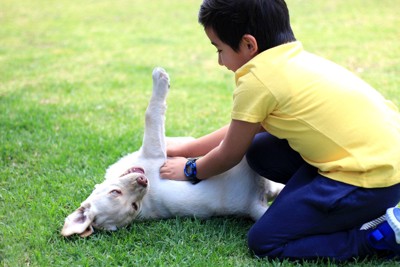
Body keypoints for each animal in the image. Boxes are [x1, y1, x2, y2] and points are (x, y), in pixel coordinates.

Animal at [61, 68, 282, 238]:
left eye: (114, 192)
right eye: (133, 207)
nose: (143, 180)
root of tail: (252, 203)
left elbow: (177, 138)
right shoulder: (154, 151)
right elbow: (152, 113)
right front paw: (161, 79)